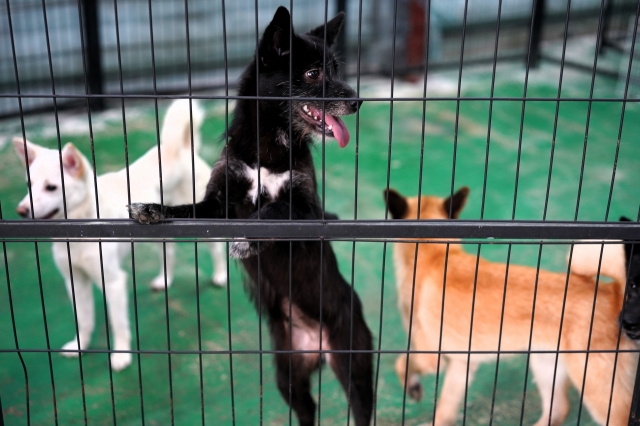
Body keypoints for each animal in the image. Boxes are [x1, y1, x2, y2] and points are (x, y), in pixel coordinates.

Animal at [13, 99, 228, 370]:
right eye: (28, 185)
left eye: (51, 187)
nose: (21, 210)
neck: (79, 229)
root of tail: (176, 148)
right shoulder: (75, 281)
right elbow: (83, 319)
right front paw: (79, 346)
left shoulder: (113, 282)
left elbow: (118, 324)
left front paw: (121, 356)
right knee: (168, 251)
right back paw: (164, 280)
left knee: (216, 248)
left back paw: (220, 275)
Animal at [127, 7, 372, 426]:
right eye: (313, 73)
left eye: (336, 69)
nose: (357, 102)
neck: (267, 148)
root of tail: (317, 345)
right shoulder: (216, 205)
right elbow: (186, 210)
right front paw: (152, 210)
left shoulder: (309, 210)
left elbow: (275, 208)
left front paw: (248, 239)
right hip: (288, 377)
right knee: (307, 410)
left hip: (355, 369)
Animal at [382, 187, 636, 426]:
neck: (435, 254)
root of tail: (614, 293)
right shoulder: (462, 364)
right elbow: (445, 409)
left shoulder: (431, 358)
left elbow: (402, 363)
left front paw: (412, 385)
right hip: (546, 366)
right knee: (558, 409)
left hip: (598, 392)